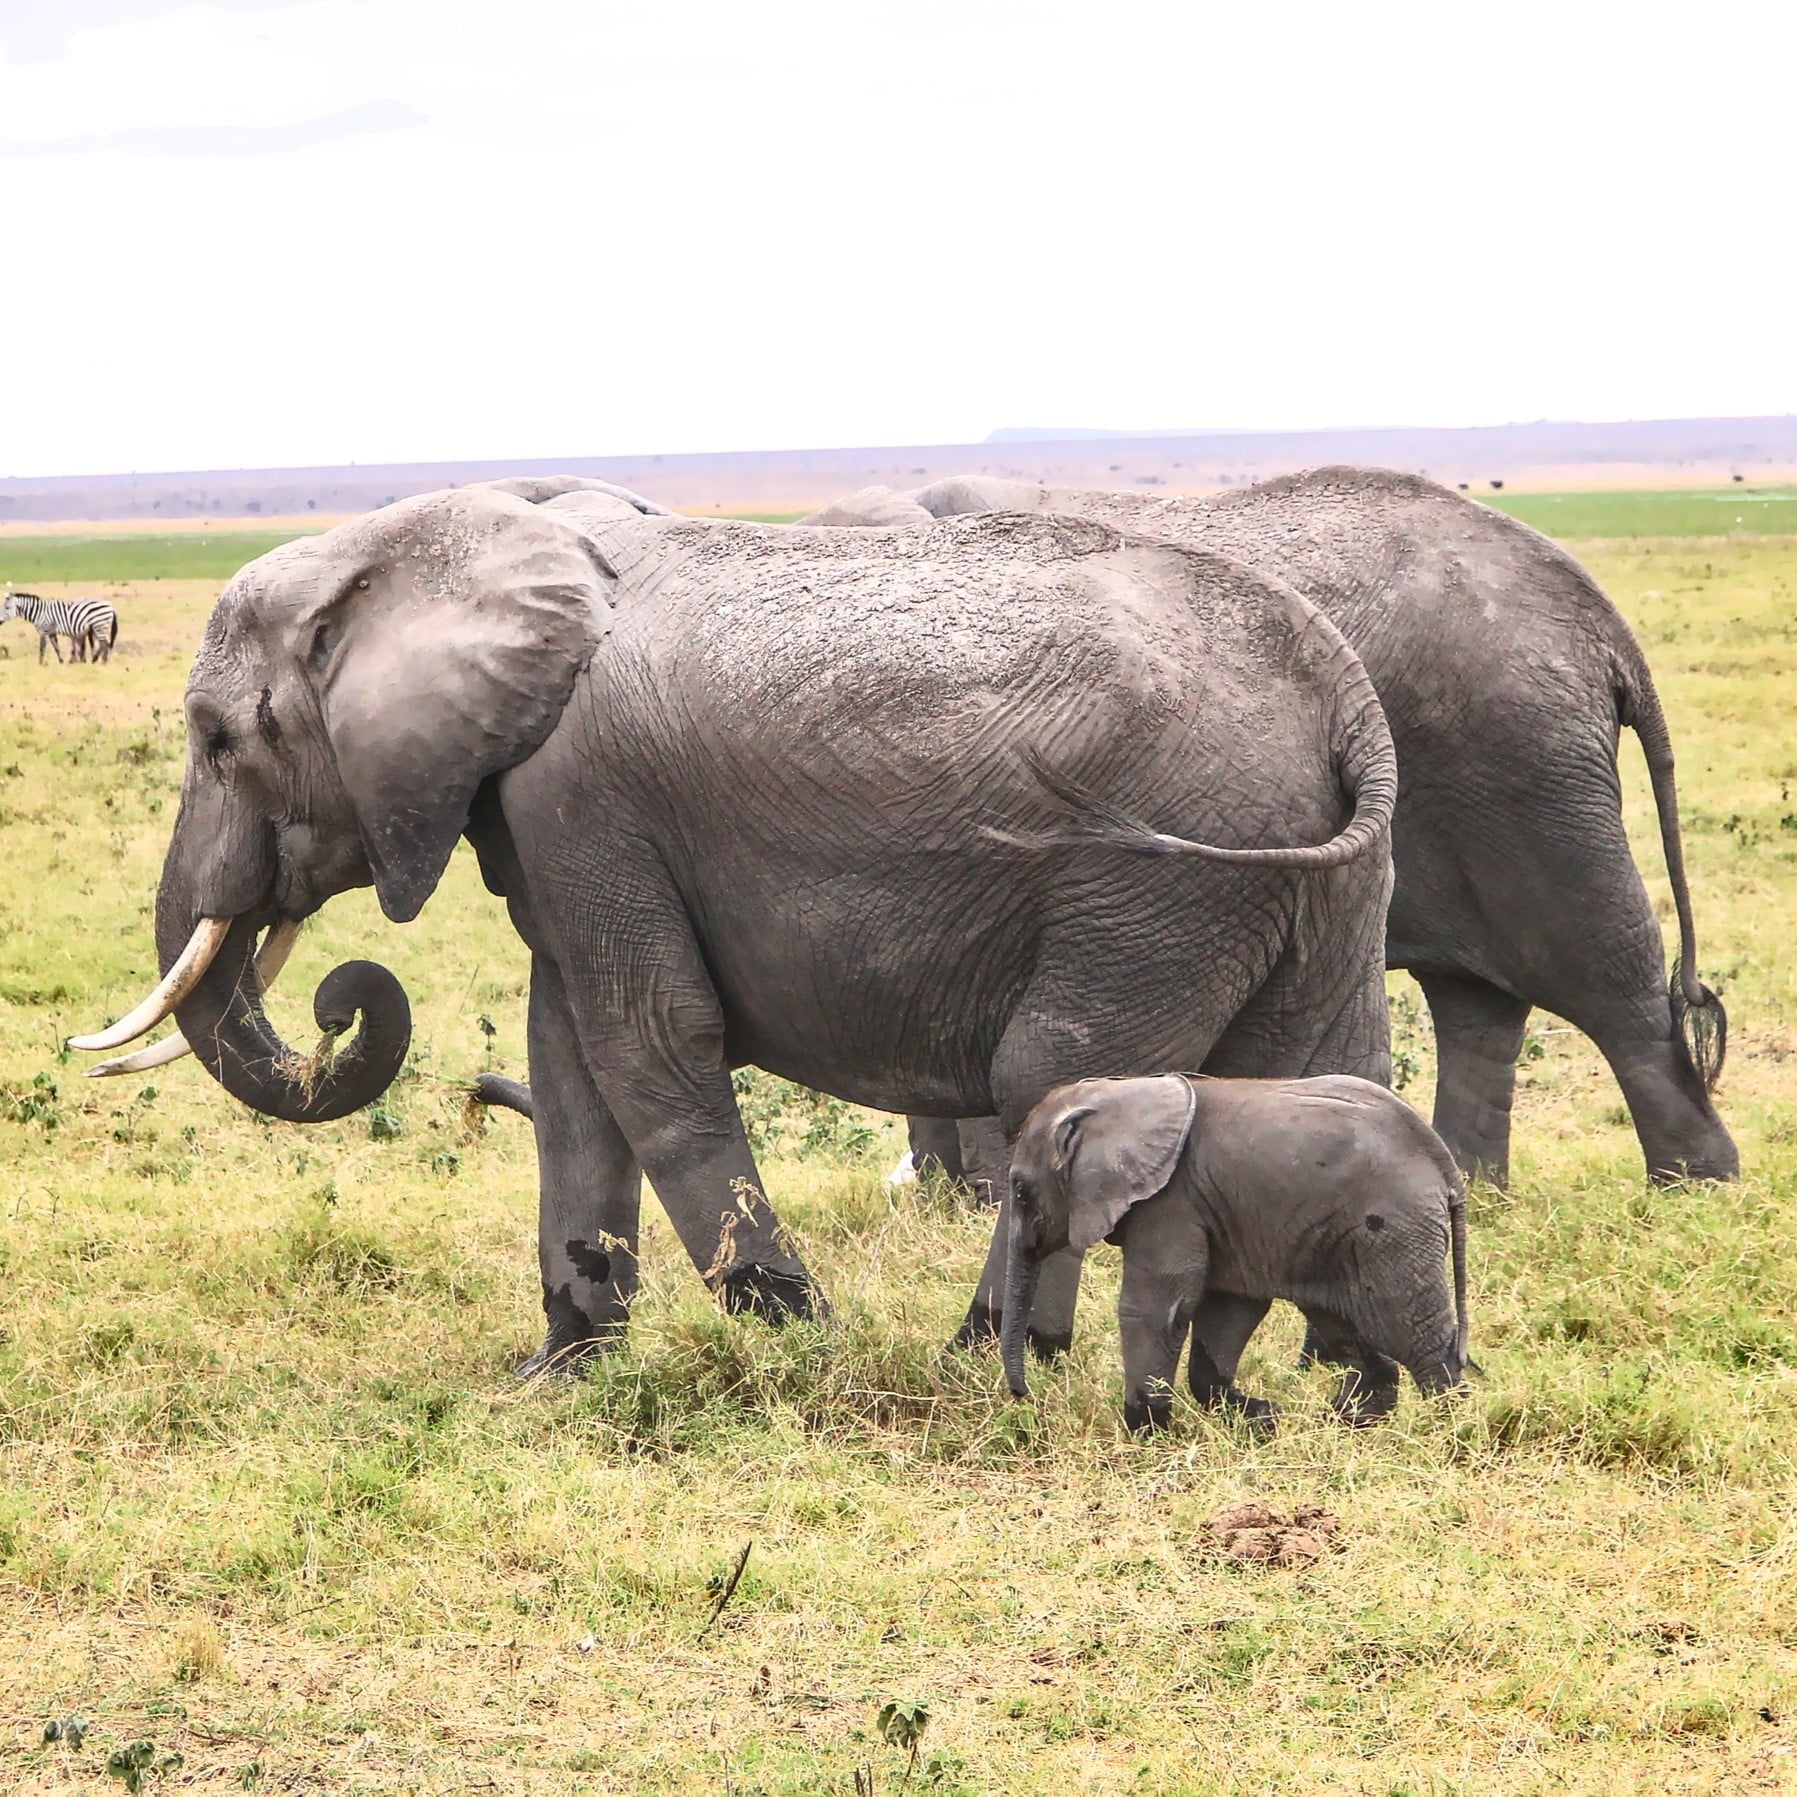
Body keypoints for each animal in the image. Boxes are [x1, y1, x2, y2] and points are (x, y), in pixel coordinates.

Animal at [72, 481, 1401, 1375]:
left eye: (217, 742)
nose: (341, 996)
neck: (427, 541)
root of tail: (1343, 697)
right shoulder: (552, 817)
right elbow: (571, 1061)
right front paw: (561, 1369)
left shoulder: (583, 794)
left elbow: (650, 1046)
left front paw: (794, 1335)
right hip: (1313, 886)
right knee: (1327, 1075)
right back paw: (1348, 1378)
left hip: (1154, 883)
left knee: (1056, 1074)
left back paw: (983, 1358)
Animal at [813, 468, 1734, 1192]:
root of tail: (1600, 623)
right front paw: (946, 1194)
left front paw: (973, 1192)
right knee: (1479, 998)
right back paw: (1475, 1187)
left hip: (1521, 760)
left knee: (1599, 972)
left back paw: (1694, 1186)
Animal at [1002, 1073, 1471, 1431]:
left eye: (1021, 1191)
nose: (1026, 1395)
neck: (1118, 1095)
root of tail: (1445, 1164)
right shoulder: (1218, 1213)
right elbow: (1230, 1307)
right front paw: (1264, 1417)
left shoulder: (1170, 1203)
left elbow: (1155, 1308)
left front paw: (1147, 1434)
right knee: (1341, 1322)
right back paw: (1344, 1422)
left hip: (1391, 1230)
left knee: (1412, 1333)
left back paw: (1447, 1431)